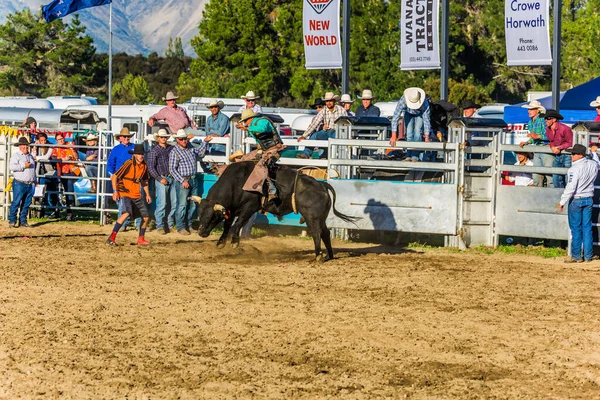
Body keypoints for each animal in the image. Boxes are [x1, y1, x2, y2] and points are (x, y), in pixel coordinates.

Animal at [195, 161, 358, 260]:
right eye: (200, 214)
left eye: (212, 216)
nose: (201, 233)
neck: (238, 182)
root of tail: (322, 185)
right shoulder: (232, 208)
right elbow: (228, 225)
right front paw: (221, 243)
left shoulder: (249, 207)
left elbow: (237, 224)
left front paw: (235, 243)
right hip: (321, 218)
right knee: (325, 233)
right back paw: (329, 256)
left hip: (312, 217)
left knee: (316, 233)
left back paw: (318, 256)